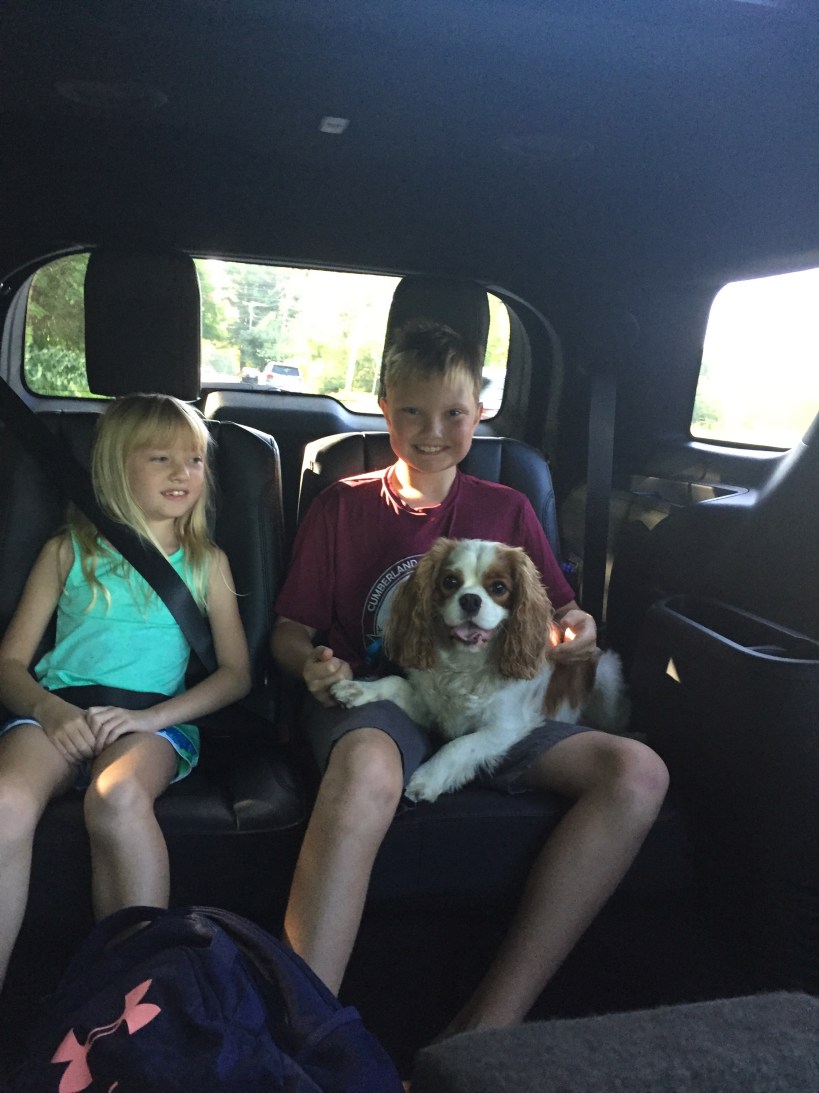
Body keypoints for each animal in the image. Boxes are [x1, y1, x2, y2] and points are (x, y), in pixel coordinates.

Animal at [331, 537, 630, 802]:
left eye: (498, 588)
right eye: (450, 582)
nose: (471, 600)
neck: (466, 663)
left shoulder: (507, 726)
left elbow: (461, 745)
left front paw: (428, 777)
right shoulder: (430, 707)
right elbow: (394, 682)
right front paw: (357, 689)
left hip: (607, 674)